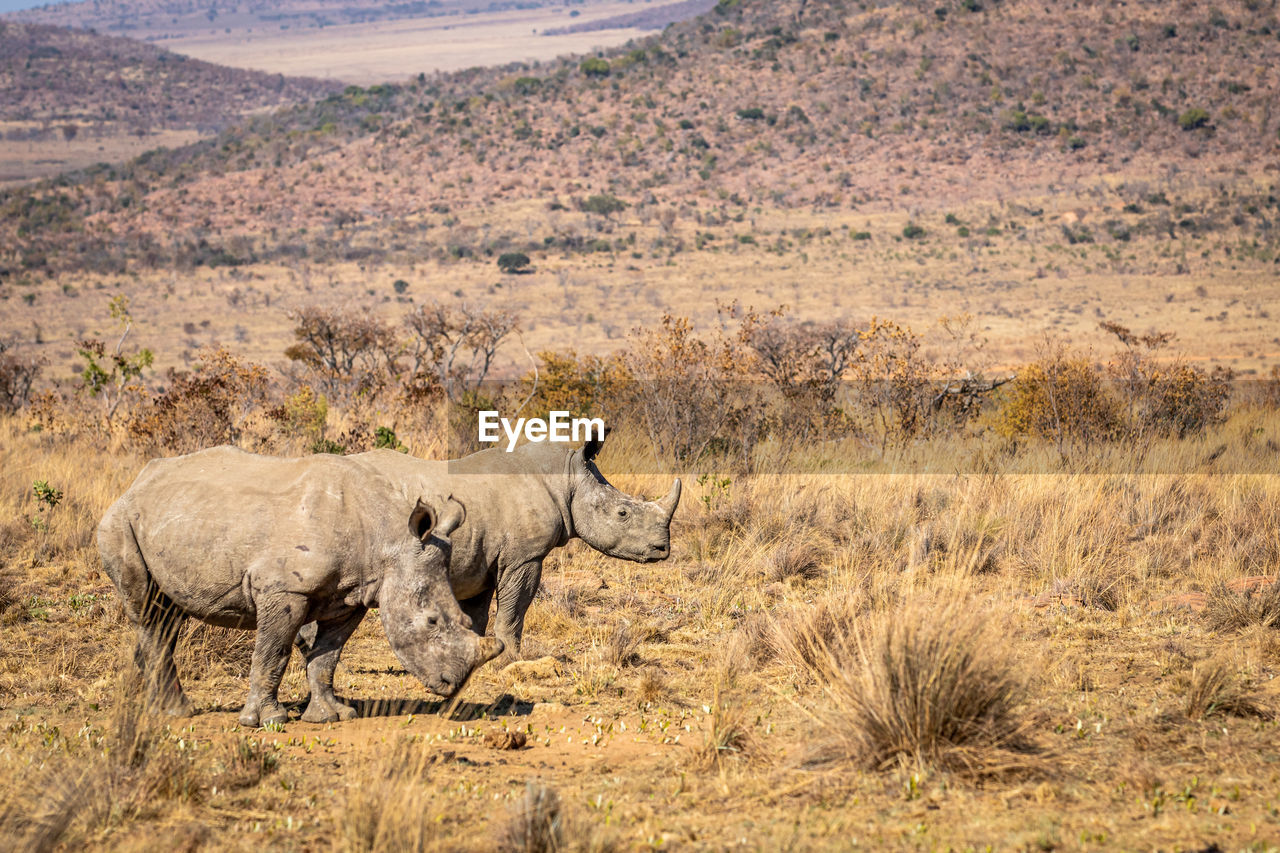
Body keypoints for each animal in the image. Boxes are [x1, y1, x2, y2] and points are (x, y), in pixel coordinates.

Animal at [97, 440, 504, 727]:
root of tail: (135, 484)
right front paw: (267, 721)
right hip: (119, 523)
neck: (386, 540)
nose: (454, 685)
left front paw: (332, 715)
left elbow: (327, 656)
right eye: (432, 622)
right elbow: (273, 652)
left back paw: (156, 707)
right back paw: (176, 713)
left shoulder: (352, 595)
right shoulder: (283, 590)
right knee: (149, 612)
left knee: (167, 616)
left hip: (172, 518)